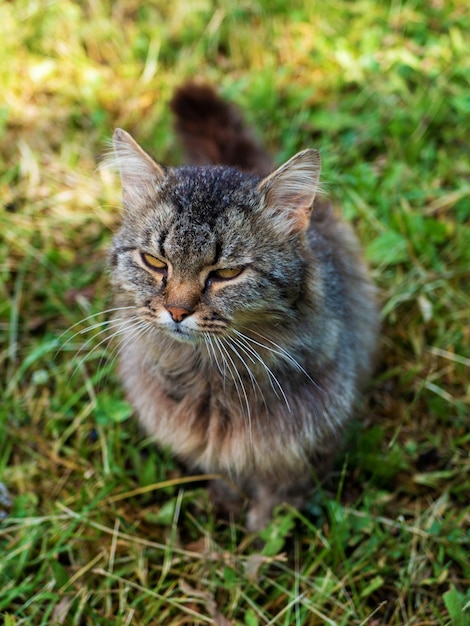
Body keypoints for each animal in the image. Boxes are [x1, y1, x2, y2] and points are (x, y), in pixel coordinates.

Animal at [106, 81, 378, 532]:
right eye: (155, 262)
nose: (177, 312)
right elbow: (226, 475)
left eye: (227, 273)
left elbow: (279, 504)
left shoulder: (306, 443)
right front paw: (228, 508)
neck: (210, 380)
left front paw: (260, 542)